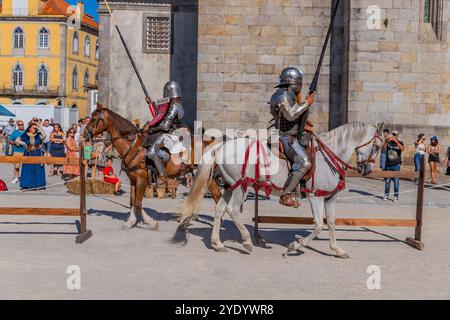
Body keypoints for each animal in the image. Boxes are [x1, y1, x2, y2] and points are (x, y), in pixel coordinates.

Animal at [83, 105, 222, 230]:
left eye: (94, 118)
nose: (84, 133)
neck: (132, 144)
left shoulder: (142, 180)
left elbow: (138, 203)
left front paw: (151, 222)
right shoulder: (133, 179)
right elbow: (132, 201)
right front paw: (130, 222)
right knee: (217, 196)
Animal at [174, 122, 382, 258]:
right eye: (378, 145)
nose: (367, 170)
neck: (328, 156)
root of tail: (222, 145)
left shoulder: (330, 198)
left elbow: (330, 223)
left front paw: (337, 250)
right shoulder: (315, 197)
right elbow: (318, 225)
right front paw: (295, 245)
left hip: (229, 185)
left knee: (220, 209)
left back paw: (217, 244)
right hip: (241, 186)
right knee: (232, 210)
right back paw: (247, 241)